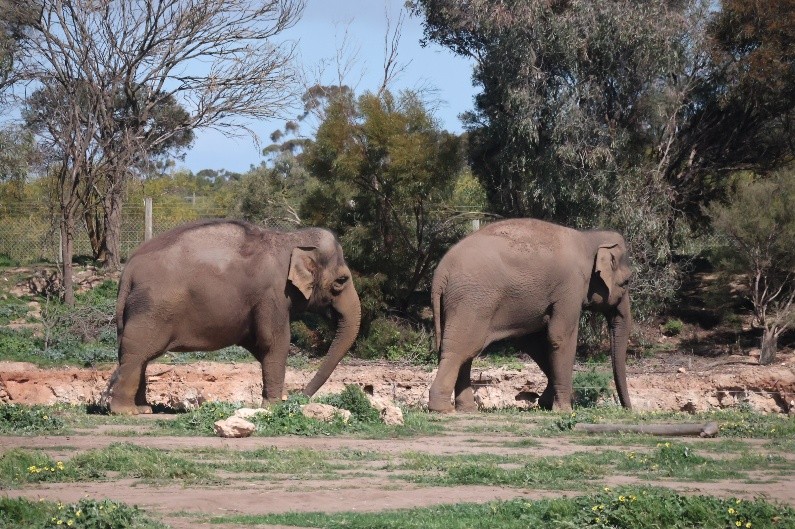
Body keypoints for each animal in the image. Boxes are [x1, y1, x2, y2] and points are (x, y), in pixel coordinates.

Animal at [107, 219, 361, 414]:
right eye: (341, 281)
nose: (299, 398)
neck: (289, 239)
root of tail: (128, 270)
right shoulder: (272, 295)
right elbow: (274, 342)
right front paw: (273, 408)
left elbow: (260, 345)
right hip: (151, 311)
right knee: (136, 354)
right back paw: (126, 412)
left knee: (137, 357)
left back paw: (144, 409)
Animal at [428, 218, 632, 413]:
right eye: (627, 282)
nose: (628, 409)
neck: (589, 238)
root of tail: (440, 273)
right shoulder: (570, 288)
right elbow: (559, 337)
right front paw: (564, 409)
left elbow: (532, 342)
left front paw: (545, 403)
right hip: (473, 302)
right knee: (460, 349)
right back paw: (443, 410)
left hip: (456, 304)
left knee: (463, 350)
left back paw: (468, 410)